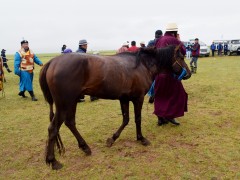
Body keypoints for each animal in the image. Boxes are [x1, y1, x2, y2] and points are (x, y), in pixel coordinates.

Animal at [39, 45, 191, 169]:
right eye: (181, 57)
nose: (188, 74)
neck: (142, 65)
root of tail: (52, 62)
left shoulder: (124, 99)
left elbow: (126, 119)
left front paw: (112, 139)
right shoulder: (138, 99)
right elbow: (137, 119)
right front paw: (141, 138)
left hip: (71, 102)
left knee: (70, 122)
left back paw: (85, 147)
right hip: (65, 104)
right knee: (53, 128)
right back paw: (53, 161)